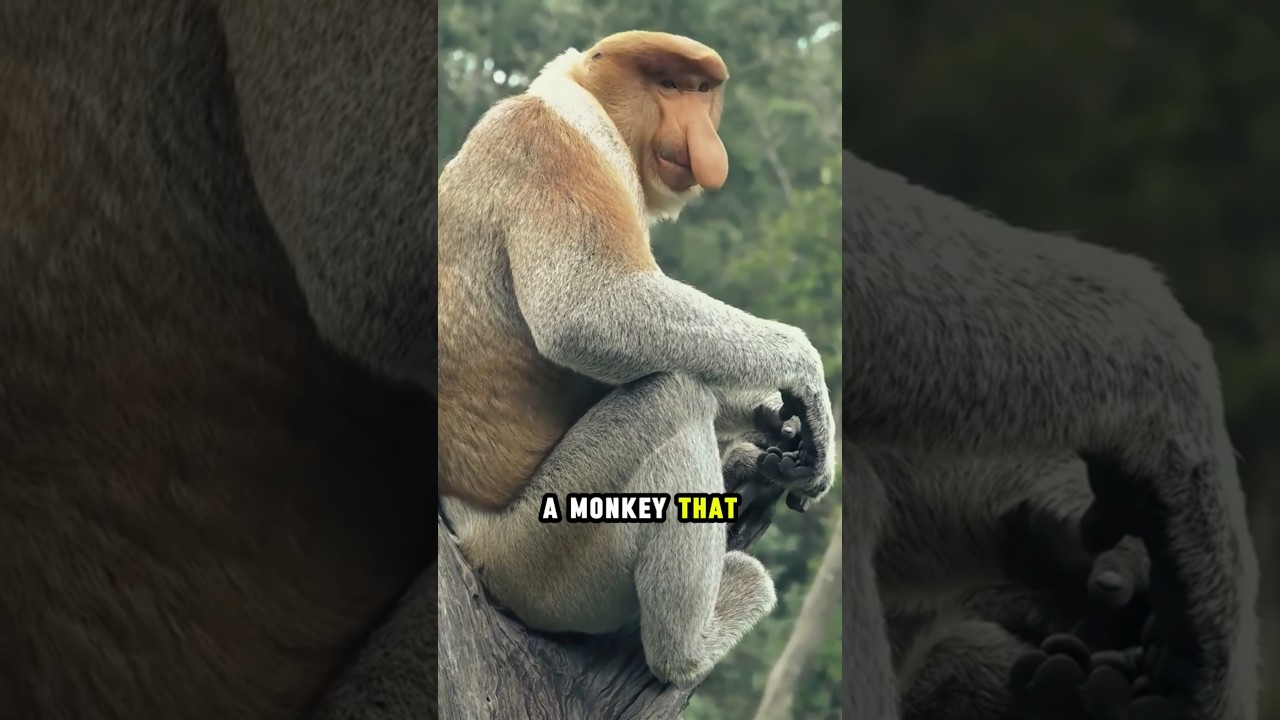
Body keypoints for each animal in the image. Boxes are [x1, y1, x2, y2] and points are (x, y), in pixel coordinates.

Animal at [435, 30, 838, 689]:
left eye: (702, 90)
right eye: (668, 86)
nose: (704, 141)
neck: (589, 108)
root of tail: (472, 549)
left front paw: (784, 429)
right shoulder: (548, 147)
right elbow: (588, 308)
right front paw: (806, 376)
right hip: (543, 552)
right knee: (671, 398)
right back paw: (692, 643)